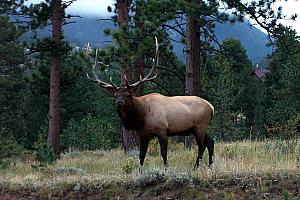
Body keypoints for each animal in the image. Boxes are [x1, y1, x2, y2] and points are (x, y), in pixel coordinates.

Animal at [86, 37, 213, 169]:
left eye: (128, 95)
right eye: (115, 95)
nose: (119, 103)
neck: (141, 116)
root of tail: (211, 107)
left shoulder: (162, 130)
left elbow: (163, 153)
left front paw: (166, 168)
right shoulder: (143, 135)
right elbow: (141, 155)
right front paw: (140, 170)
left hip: (200, 126)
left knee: (202, 146)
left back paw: (196, 166)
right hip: (197, 128)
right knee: (210, 142)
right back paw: (209, 164)